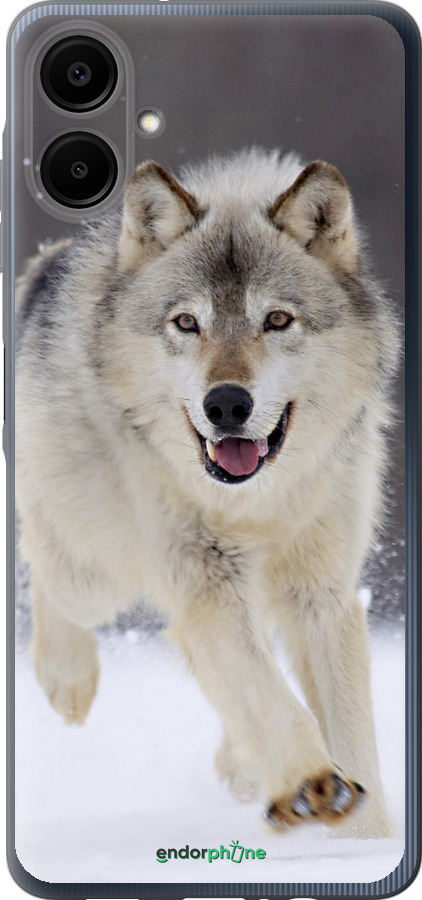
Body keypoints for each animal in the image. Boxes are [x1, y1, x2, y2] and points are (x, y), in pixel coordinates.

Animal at [15, 148, 399, 837]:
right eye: (187, 323)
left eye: (277, 320)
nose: (225, 404)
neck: (258, 503)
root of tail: (47, 262)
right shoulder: (205, 580)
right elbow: (269, 696)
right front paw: (312, 783)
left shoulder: (321, 594)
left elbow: (351, 732)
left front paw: (365, 838)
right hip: (97, 572)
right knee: (44, 561)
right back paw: (68, 679)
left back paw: (243, 767)